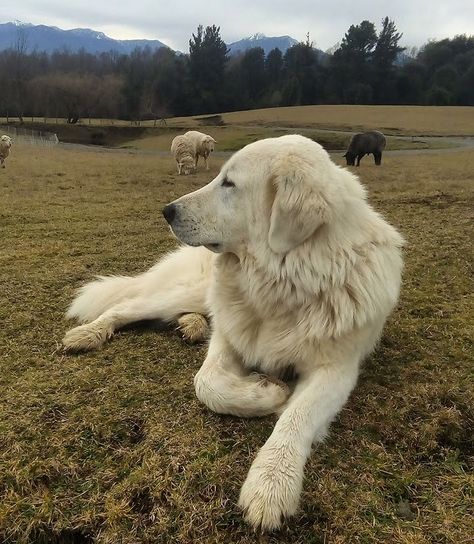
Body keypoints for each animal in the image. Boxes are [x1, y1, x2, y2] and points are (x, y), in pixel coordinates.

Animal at [64, 135, 404, 532]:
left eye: (229, 184)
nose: (166, 211)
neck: (284, 281)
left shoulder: (336, 369)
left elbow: (297, 418)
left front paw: (271, 484)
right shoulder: (229, 336)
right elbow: (207, 383)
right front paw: (269, 393)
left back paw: (190, 325)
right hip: (189, 291)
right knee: (127, 305)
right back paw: (88, 333)